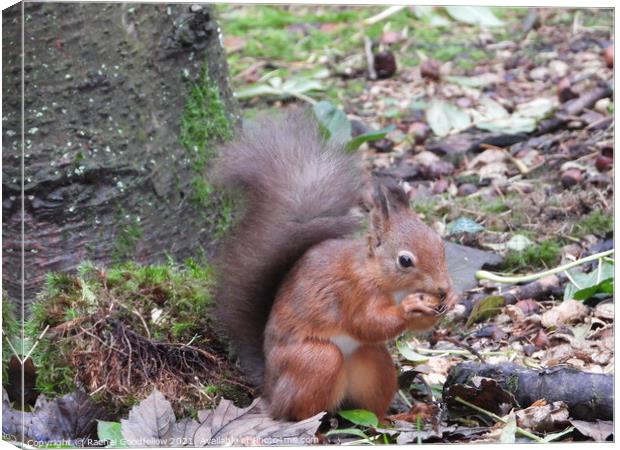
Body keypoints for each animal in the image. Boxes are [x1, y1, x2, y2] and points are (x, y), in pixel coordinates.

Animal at [212, 109, 456, 422]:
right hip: (316, 362)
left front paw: (450, 300)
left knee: (371, 407)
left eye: (441, 245)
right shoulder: (353, 292)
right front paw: (409, 307)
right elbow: (367, 323)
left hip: (371, 362)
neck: (380, 277)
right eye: (405, 261)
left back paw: (400, 416)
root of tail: (270, 388)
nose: (442, 287)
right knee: (300, 410)